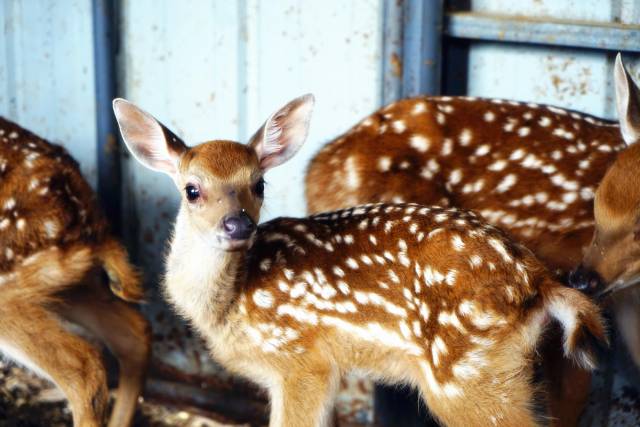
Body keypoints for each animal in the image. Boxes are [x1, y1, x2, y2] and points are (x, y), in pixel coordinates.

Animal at [112, 93, 608, 427]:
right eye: (192, 190)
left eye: (259, 184)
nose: (237, 225)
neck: (233, 300)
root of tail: (540, 283)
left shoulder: (301, 361)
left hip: (465, 373)